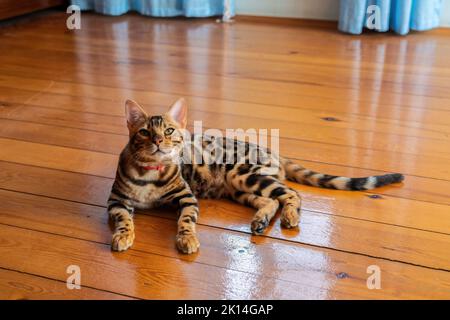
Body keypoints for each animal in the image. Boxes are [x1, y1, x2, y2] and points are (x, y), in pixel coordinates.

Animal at [106, 99, 404, 254]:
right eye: (144, 132)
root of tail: (272, 150)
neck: (150, 174)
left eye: (168, 131)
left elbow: (186, 221)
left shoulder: (187, 198)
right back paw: (261, 221)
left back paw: (290, 216)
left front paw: (187, 239)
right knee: (270, 200)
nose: (158, 141)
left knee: (291, 193)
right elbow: (124, 220)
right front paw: (123, 236)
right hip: (238, 188)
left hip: (243, 174)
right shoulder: (116, 201)